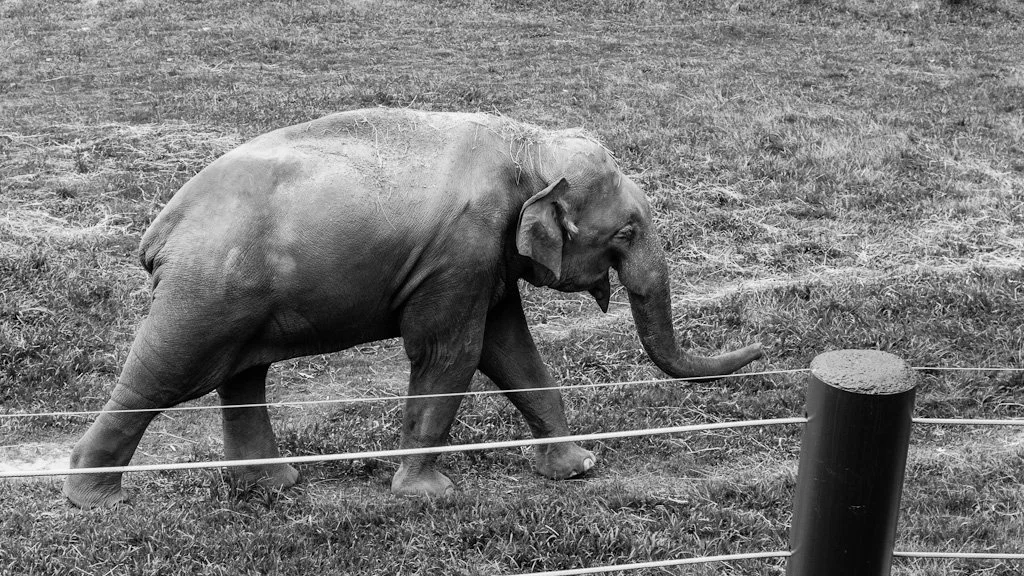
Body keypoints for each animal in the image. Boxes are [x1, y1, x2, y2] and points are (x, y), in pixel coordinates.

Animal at [63, 108, 762, 508]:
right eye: (625, 233)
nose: (762, 352)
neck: (529, 148)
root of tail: (160, 230)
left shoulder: (485, 259)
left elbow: (511, 351)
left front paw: (576, 470)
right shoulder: (459, 250)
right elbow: (451, 352)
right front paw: (427, 496)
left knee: (241, 375)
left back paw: (273, 486)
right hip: (206, 291)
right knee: (163, 375)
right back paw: (91, 501)